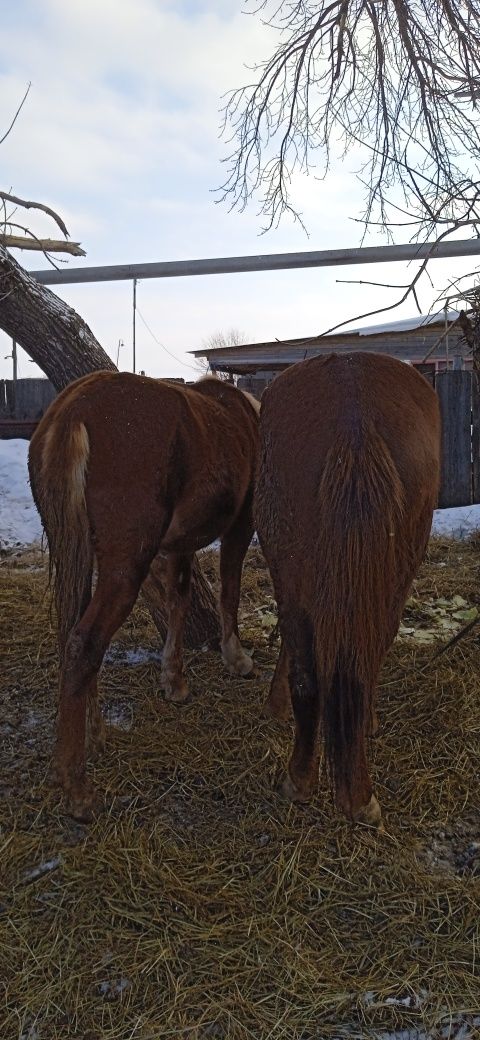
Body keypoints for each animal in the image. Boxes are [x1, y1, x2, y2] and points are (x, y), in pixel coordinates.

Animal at [28, 374, 258, 819]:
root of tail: (72, 409)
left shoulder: (182, 543)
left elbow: (179, 599)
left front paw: (174, 679)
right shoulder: (241, 522)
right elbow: (229, 588)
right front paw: (235, 656)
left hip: (73, 550)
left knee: (71, 632)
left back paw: (90, 737)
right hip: (124, 565)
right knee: (83, 643)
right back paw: (76, 786)